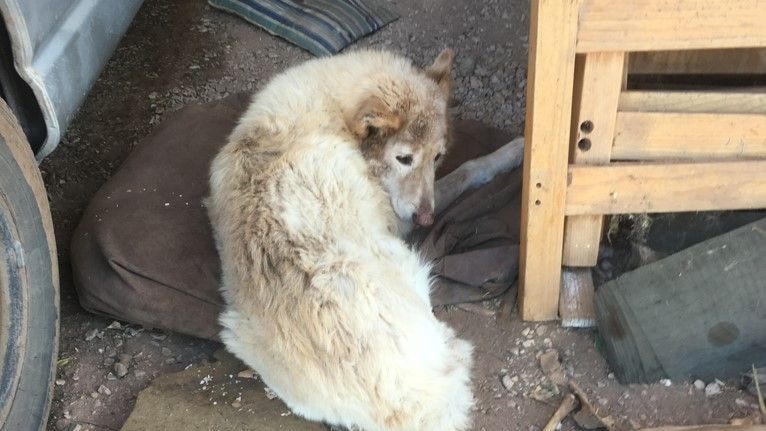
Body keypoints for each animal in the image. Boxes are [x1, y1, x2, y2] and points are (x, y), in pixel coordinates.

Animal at [207, 48, 524, 431]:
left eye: (436, 156)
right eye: (404, 158)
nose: (427, 219)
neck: (332, 111)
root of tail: (399, 403)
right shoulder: (400, 219)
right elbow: (468, 170)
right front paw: (515, 151)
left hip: (234, 331)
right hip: (409, 263)